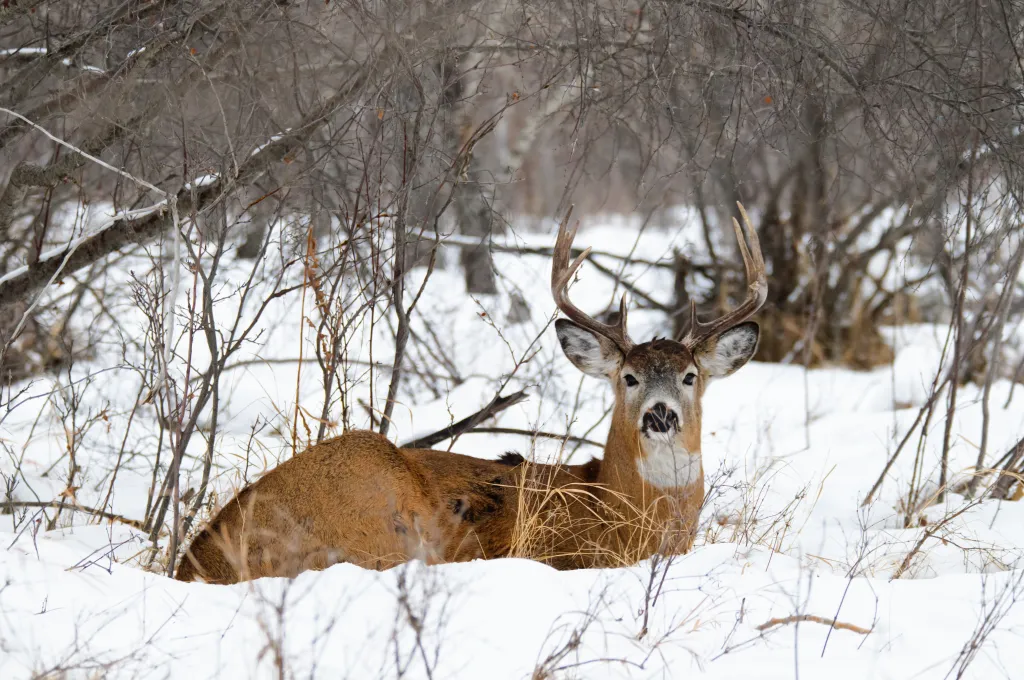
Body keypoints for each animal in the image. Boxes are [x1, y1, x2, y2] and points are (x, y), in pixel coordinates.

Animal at [178, 202, 770, 585]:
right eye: (628, 377)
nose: (660, 415)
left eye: (690, 376)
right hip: (380, 508)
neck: (616, 508)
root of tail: (197, 562)